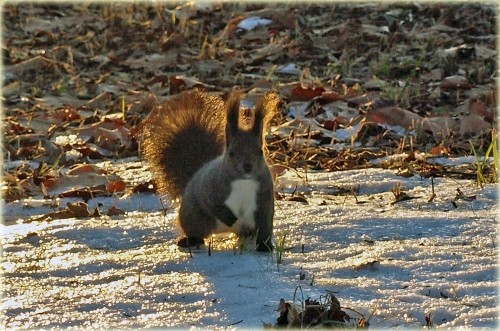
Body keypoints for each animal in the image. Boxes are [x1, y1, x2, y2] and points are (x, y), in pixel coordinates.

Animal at [140, 89, 282, 252]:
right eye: (231, 153)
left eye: (260, 151)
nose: (247, 166)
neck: (243, 182)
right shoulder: (210, 186)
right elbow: (211, 203)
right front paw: (229, 217)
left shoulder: (264, 198)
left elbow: (265, 225)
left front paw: (265, 246)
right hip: (194, 218)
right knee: (196, 230)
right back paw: (190, 240)